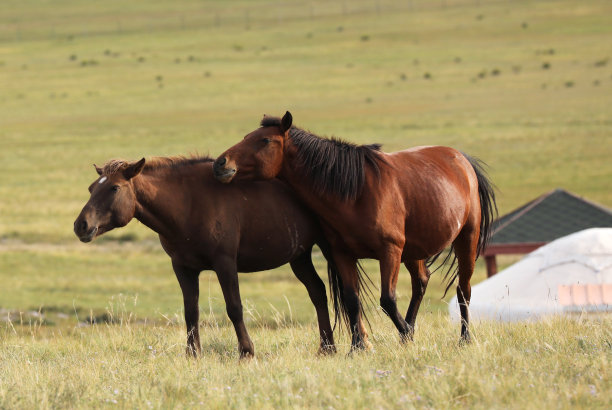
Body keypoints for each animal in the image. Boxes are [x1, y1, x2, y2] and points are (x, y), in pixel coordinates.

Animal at [74, 155, 340, 358]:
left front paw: (246, 351)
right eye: (91, 188)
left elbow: (234, 307)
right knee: (317, 292)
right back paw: (327, 348)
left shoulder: (225, 263)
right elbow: (191, 311)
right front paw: (193, 353)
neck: (189, 205)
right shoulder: (183, 268)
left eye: (114, 188)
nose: (81, 225)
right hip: (300, 256)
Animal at [213, 113, 494, 352]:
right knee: (421, 283)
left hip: (465, 240)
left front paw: (402, 333)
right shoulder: (342, 254)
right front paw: (357, 347)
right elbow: (352, 299)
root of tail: (461, 159)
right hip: (413, 251)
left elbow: (387, 299)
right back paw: (411, 333)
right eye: (246, 137)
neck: (355, 192)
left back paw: (464, 339)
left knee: (463, 289)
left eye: (264, 140)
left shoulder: (389, 251)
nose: (220, 163)